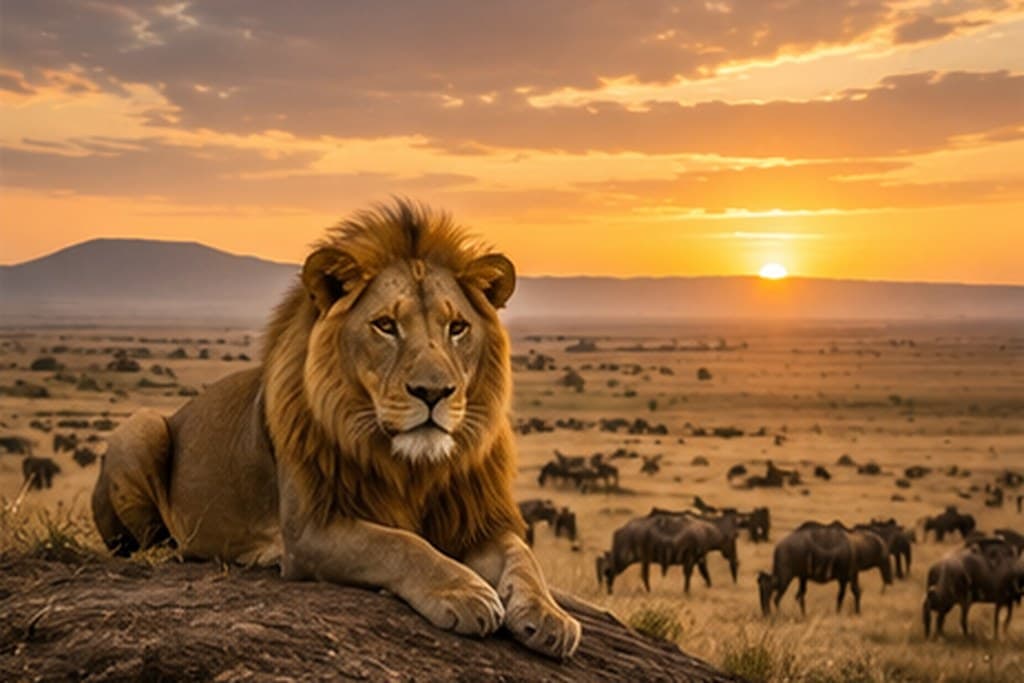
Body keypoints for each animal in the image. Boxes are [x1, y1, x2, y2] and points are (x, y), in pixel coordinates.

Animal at [91, 200, 581, 659]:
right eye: (386, 325)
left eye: (457, 327)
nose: (433, 392)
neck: (413, 468)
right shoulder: (311, 530)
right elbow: (399, 543)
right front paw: (464, 590)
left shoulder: (475, 520)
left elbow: (523, 556)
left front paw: (550, 614)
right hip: (141, 427)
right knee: (152, 544)